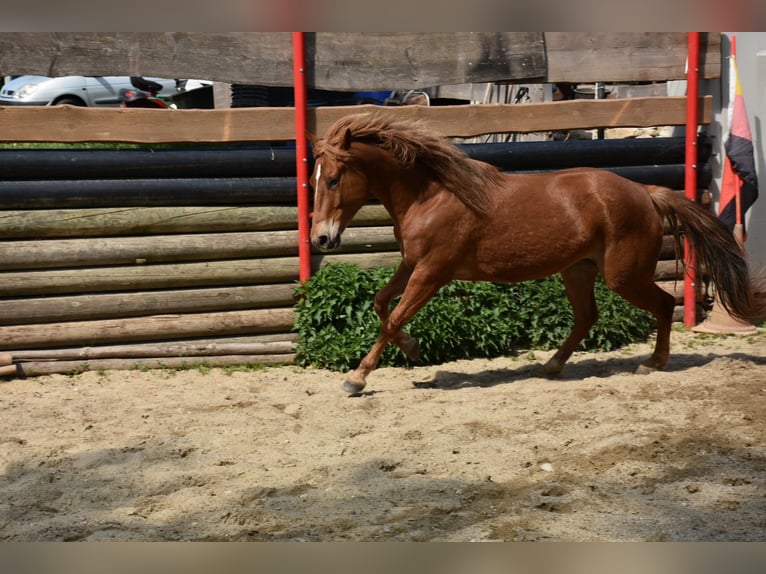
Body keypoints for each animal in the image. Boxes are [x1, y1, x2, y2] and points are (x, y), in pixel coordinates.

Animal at [308, 112, 766, 394]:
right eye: (315, 178)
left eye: (333, 179)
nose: (321, 240)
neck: (432, 195)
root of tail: (645, 192)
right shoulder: (411, 264)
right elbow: (381, 303)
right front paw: (414, 348)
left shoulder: (432, 272)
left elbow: (393, 317)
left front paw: (357, 378)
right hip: (578, 270)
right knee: (587, 317)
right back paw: (551, 366)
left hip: (623, 275)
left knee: (664, 304)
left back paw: (654, 363)